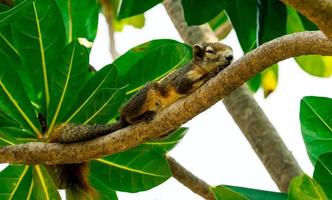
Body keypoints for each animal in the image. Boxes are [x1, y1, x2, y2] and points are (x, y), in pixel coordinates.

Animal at [50, 42, 233, 198]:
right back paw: (140, 117)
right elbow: (184, 85)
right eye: (210, 51)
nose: (230, 57)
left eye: (230, 49)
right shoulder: (181, 77)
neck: (197, 66)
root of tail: (122, 117)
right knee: (130, 116)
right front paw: (212, 73)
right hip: (145, 94)